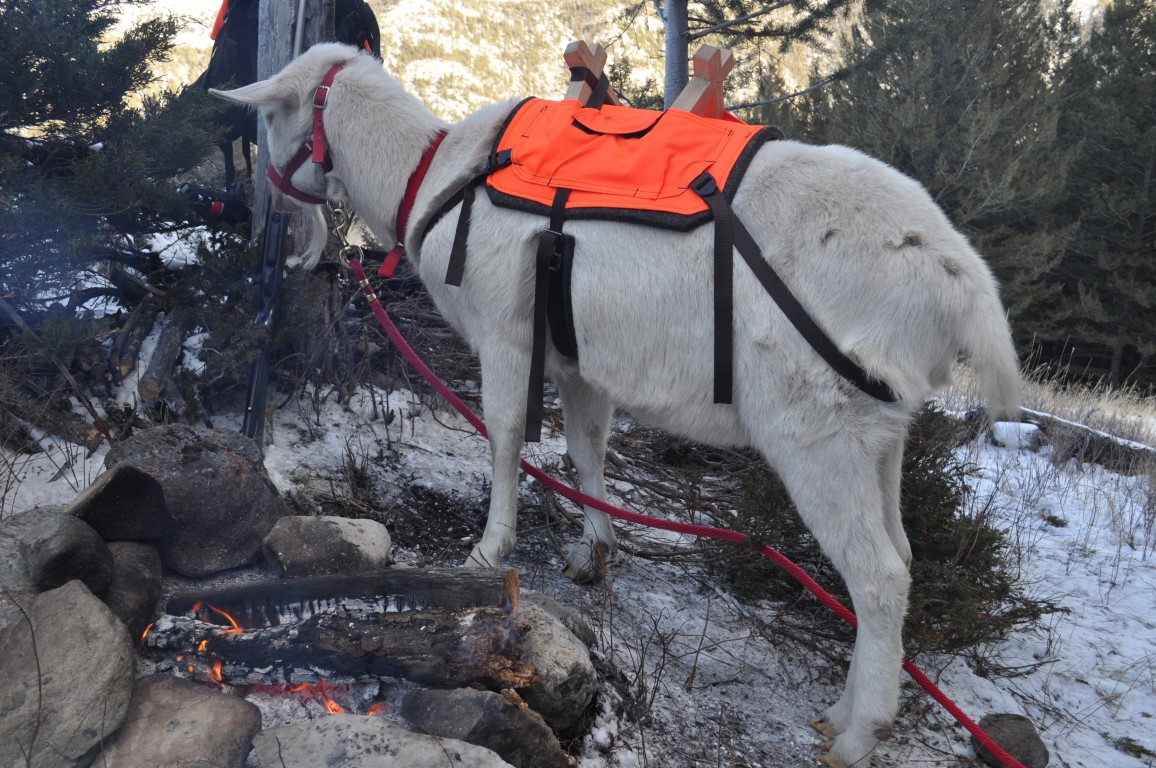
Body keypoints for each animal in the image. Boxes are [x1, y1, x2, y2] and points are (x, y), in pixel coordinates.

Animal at [212, 43, 1017, 768]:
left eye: (274, 116)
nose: (270, 211)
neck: (428, 178)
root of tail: (960, 278)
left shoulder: (505, 334)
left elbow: (505, 435)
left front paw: (489, 548)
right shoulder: (582, 362)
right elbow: (585, 447)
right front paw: (593, 553)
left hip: (820, 430)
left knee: (878, 577)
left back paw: (858, 733)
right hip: (883, 432)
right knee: (902, 557)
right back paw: (845, 708)